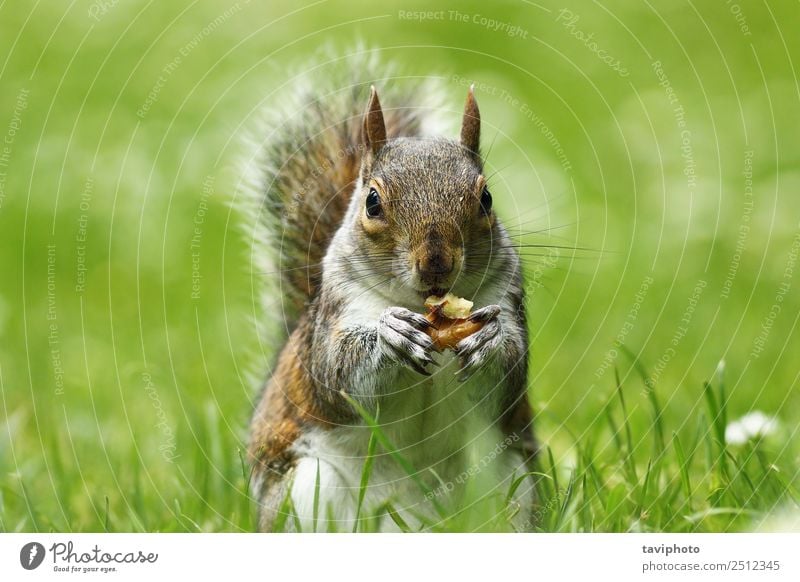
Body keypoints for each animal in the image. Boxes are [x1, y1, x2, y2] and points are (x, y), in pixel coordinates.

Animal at [244, 56, 536, 532]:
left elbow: (508, 378)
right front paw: (390, 335)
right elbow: (337, 373)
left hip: (514, 480)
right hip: (307, 488)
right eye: (372, 202)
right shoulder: (335, 313)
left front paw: (489, 340)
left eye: (487, 199)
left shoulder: (508, 297)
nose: (436, 263)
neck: (423, 304)